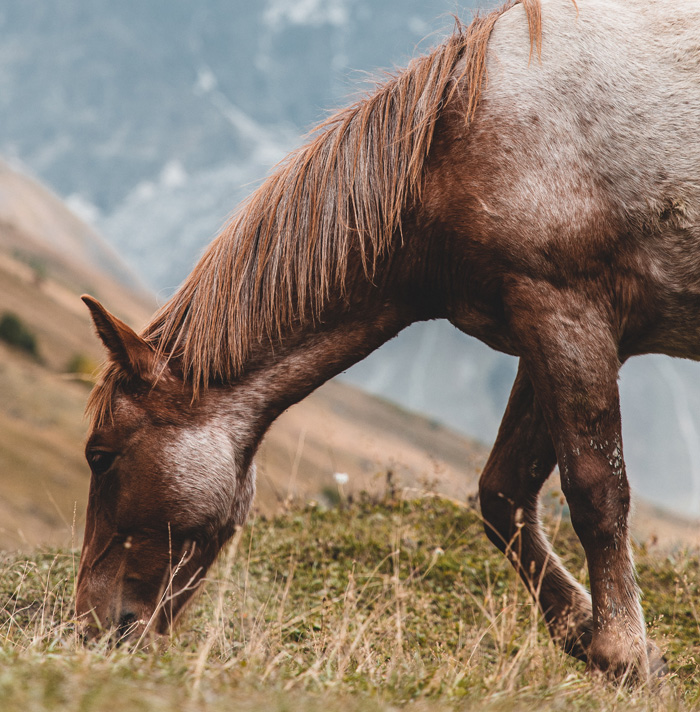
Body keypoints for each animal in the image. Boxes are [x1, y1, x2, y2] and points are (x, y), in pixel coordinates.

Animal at [75, 0, 700, 679]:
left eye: (100, 456)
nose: (89, 629)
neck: (455, 143)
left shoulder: (567, 312)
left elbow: (595, 490)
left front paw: (622, 651)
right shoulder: (547, 325)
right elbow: (503, 494)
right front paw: (584, 629)